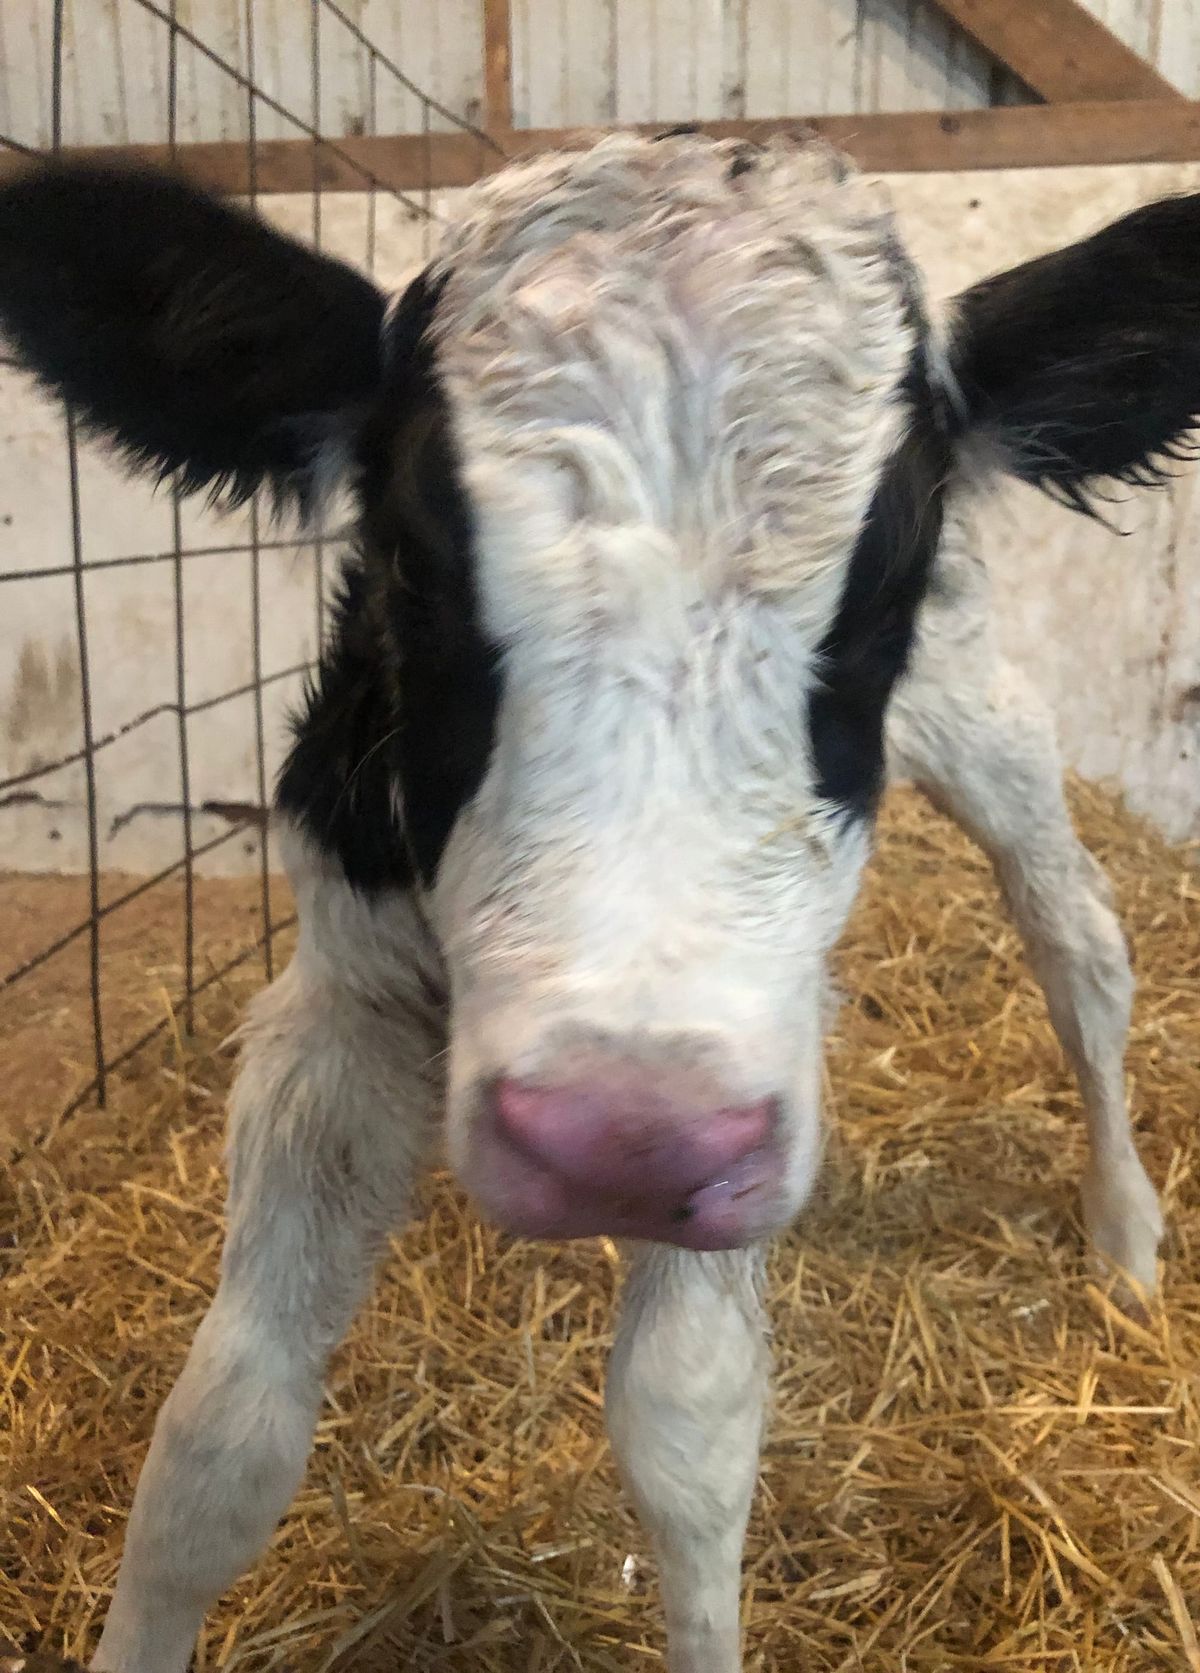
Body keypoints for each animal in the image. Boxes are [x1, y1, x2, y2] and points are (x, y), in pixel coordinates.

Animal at [0, 133, 1186, 1673]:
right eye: (409, 562)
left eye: (891, 584)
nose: (614, 1143)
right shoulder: (344, 996)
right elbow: (220, 1437)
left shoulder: (730, 1079)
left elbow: (688, 1430)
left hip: (991, 723)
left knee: (1077, 942)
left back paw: (1127, 1238)